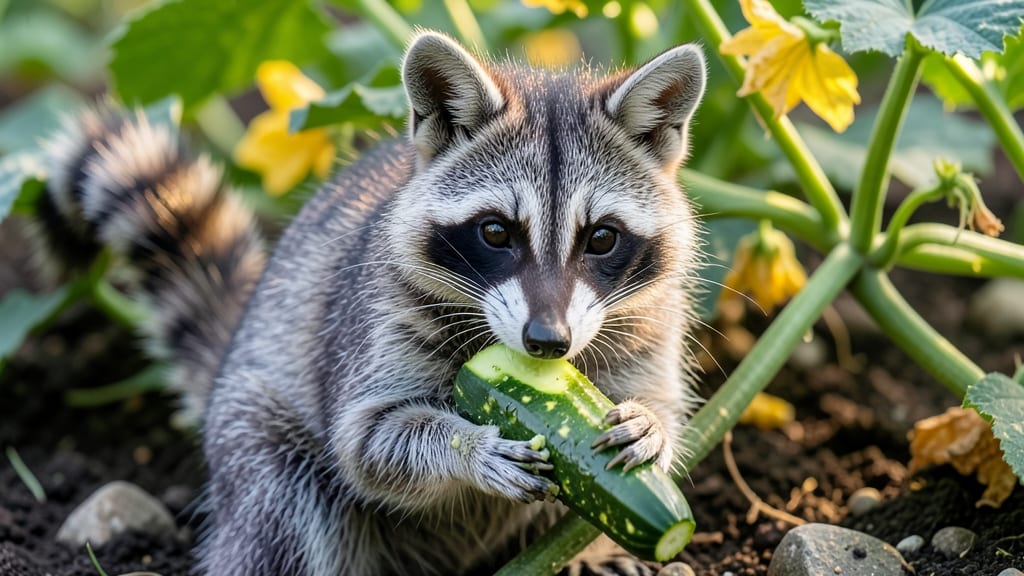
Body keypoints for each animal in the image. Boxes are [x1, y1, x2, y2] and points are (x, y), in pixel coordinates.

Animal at [36, 31, 706, 576]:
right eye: (495, 232)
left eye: (601, 238)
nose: (547, 342)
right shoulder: (375, 316)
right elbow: (369, 442)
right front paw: (465, 447)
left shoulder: (649, 318)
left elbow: (668, 407)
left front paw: (649, 424)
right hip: (256, 435)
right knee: (289, 504)